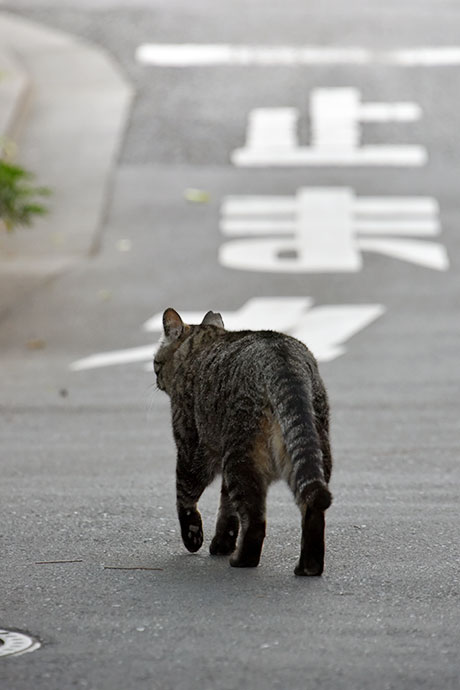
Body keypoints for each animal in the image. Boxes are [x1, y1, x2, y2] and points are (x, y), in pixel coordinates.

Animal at [155, 308, 334, 576]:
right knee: (312, 509)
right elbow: (227, 509)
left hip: (241, 459)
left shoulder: (191, 449)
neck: (203, 344)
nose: (156, 379)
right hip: (310, 452)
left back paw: (242, 559)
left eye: (156, 363)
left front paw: (194, 537)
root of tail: (281, 357)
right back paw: (308, 566)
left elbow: (185, 497)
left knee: (255, 520)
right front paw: (222, 543)